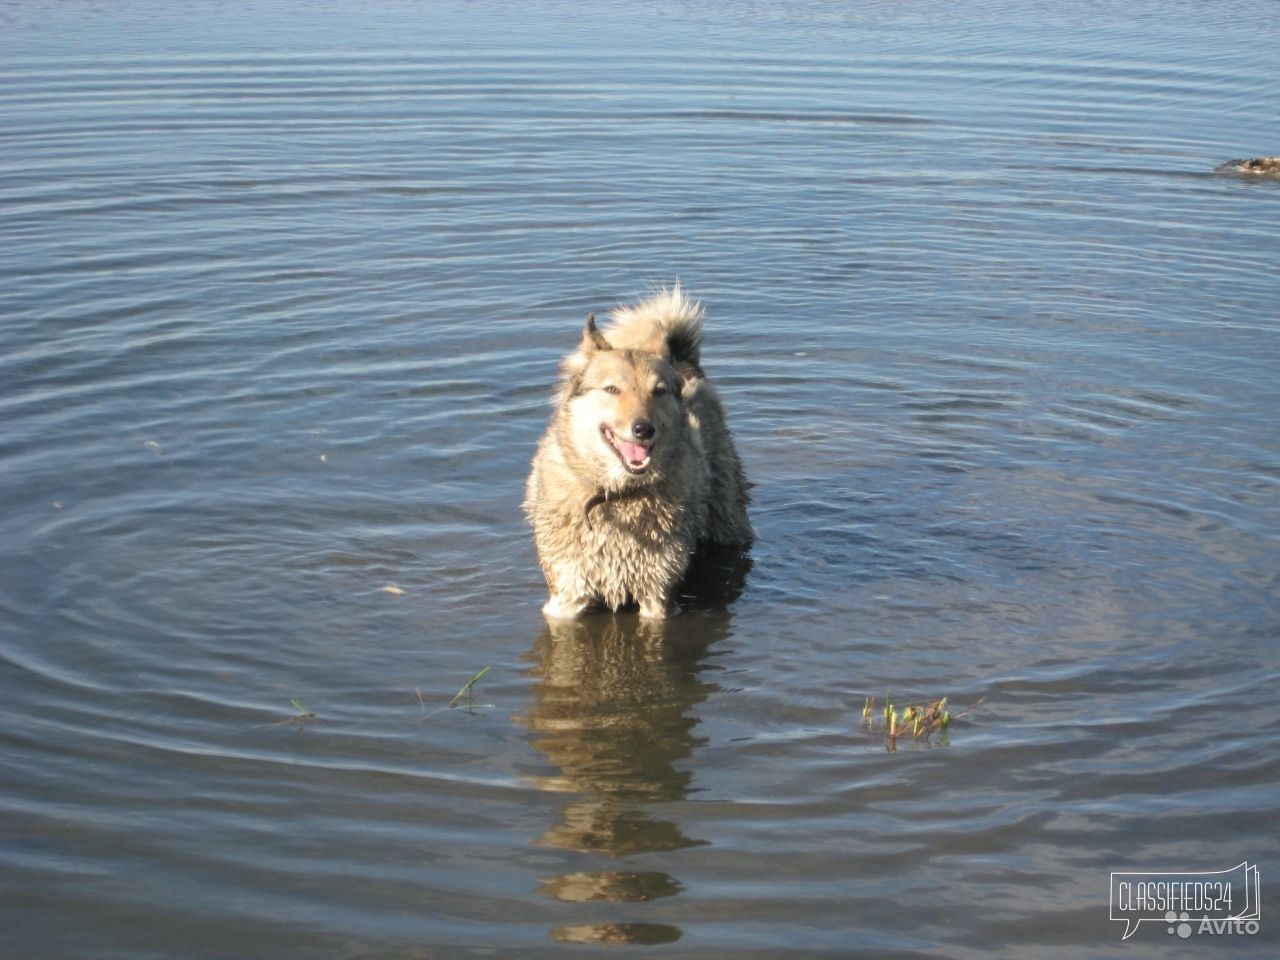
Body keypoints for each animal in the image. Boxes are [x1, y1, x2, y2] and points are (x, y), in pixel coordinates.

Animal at [524, 284, 752, 624]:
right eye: (612, 390)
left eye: (658, 391)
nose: (644, 429)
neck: (617, 495)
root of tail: (684, 361)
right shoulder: (566, 594)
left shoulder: (658, 595)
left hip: (728, 516)